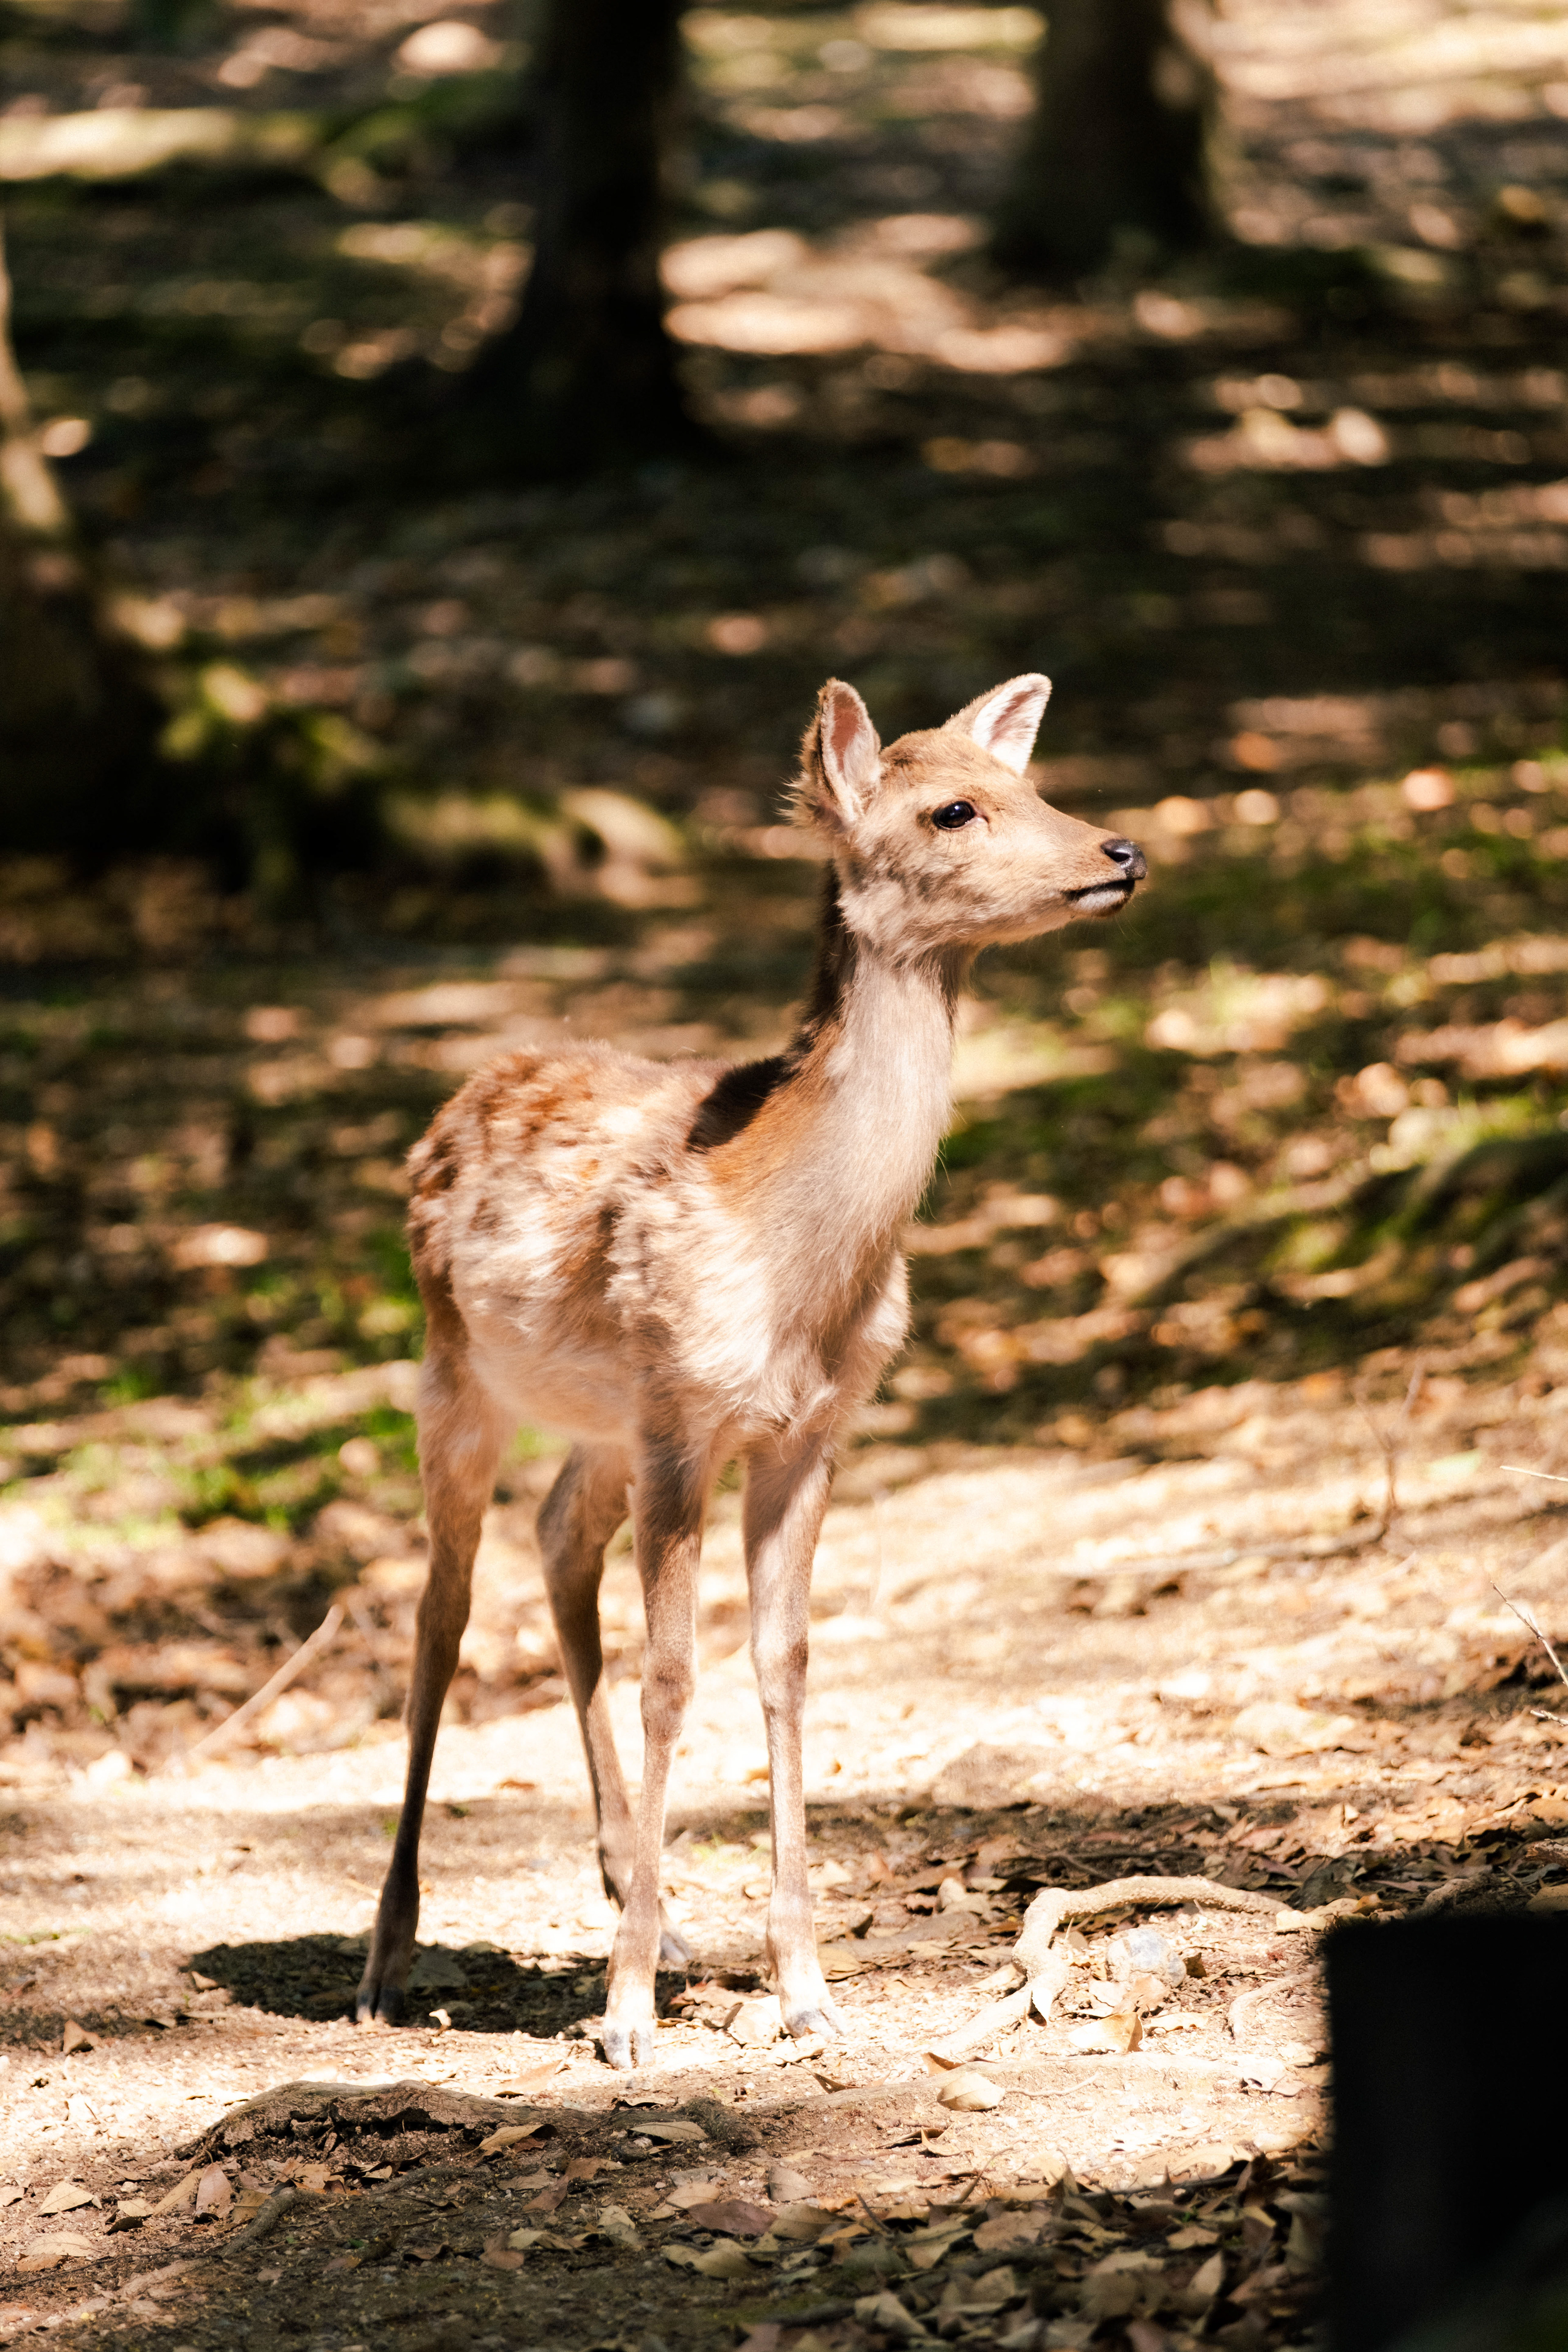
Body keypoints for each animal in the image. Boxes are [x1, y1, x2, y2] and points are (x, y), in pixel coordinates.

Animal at [356, 672, 1146, 2068]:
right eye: (953, 810)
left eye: (1033, 783)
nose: (1118, 852)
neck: (796, 1260)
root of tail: (455, 1100)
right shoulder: (685, 1412)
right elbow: (673, 1676)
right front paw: (624, 2019)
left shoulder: (807, 1431)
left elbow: (784, 1664)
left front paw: (806, 1991)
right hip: (455, 1376)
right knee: (440, 1616)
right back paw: (390, 1957)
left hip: (599, 1422)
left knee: (558, 1538)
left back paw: (648, 1903)